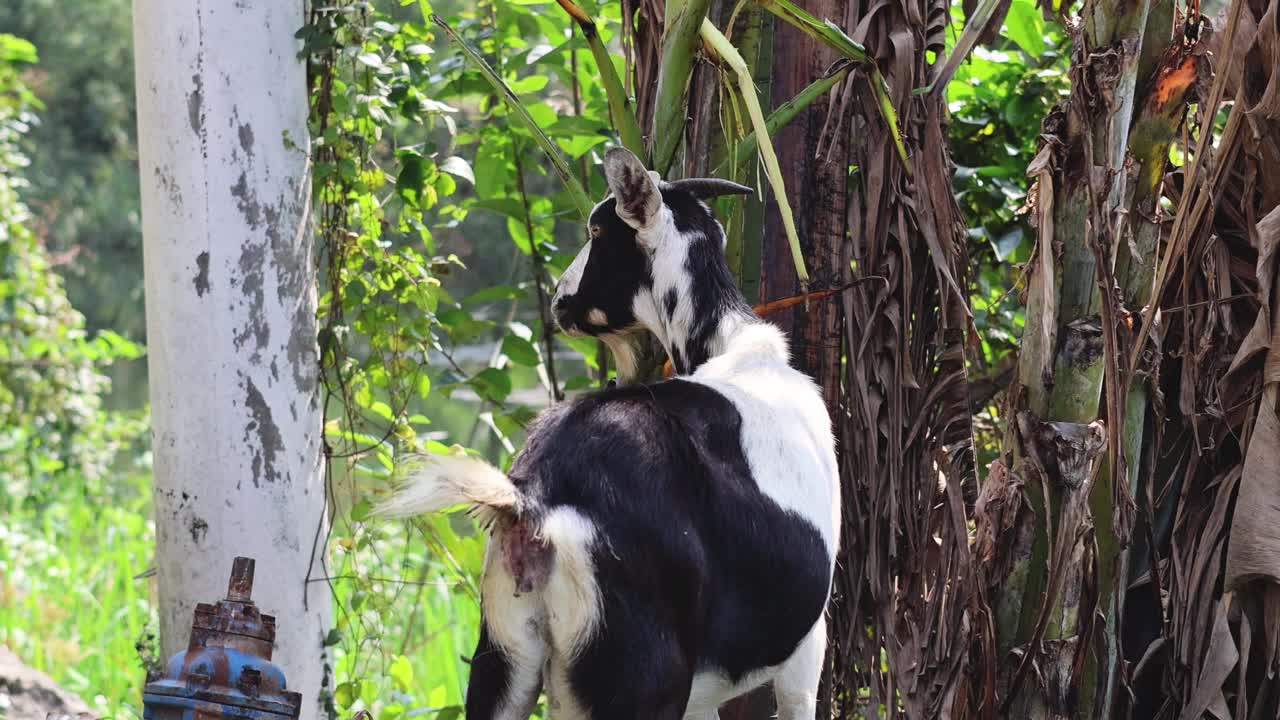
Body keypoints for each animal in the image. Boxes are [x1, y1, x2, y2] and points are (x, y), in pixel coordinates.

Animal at [376, 147, 839, 717]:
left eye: (597, 230)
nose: (560, 300)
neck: (741, 351)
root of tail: (535, 502)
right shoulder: (806, 649)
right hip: (638, 677)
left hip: (504, 657)